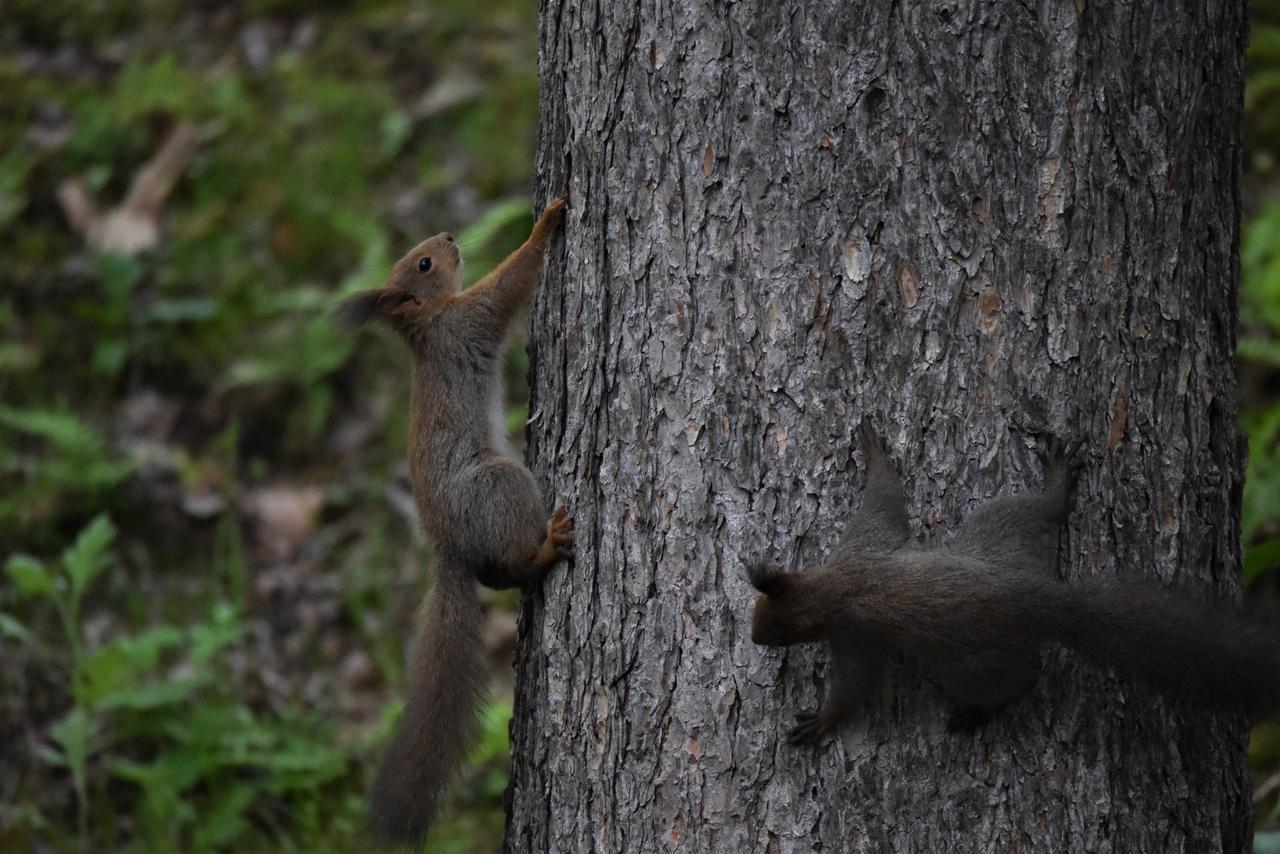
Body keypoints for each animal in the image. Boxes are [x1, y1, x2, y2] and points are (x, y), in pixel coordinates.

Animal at [345, 197, 576, 845]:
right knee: (513, 559)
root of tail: (446, 545)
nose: (448, 235)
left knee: (497, 576)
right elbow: (512, 280)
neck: (428, 326)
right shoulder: (471, 318)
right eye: (424, 263)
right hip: (502, 485)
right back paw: (549, 546)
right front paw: (546, 221)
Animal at [747, 425, 1280, 742]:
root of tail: (1044, 600)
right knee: (1044, 510)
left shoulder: (856, 634)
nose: (754, 638)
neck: (834, 585)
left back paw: (979, 712)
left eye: (778, 633)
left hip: (969, 662)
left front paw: (823, 721)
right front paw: (876, 453)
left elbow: (855, 685)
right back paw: (1057, 481)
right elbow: (885, 501)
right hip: (1002, 528)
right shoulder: (866, 543)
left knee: (1020, 680)